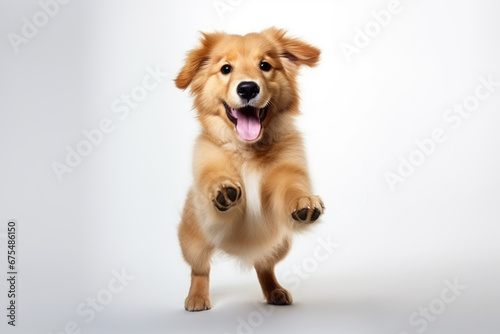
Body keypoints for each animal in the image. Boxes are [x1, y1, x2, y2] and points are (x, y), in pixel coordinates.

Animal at [176, 27, 324, 312]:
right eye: (226, 68)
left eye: (265, 65)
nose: (247, 88)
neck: (247, 151)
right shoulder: (211, 206)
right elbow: (217, 180)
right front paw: (223, 189)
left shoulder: (286, 173)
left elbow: (290, 188)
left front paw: (304, 201)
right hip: (194, 241)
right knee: (200, 270)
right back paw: (197, 297)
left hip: (280, 243)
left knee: (264, 265)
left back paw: (275, 291)